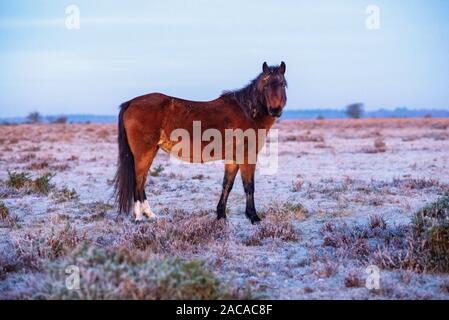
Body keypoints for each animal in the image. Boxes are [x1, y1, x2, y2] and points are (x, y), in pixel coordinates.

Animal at [113, 61, 288, 224]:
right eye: (266, 85)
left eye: (282, 84)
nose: (275, 110)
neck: (247, 112)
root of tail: (131, 103)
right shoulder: (247, 156)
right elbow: (249, 186)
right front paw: (253, 217)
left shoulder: (232, 158)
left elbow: (227, 185)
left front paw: (221, 215)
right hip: (144, 153)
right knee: (138, 181)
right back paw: (139, 217)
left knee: (141, 181)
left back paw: (150, 215)